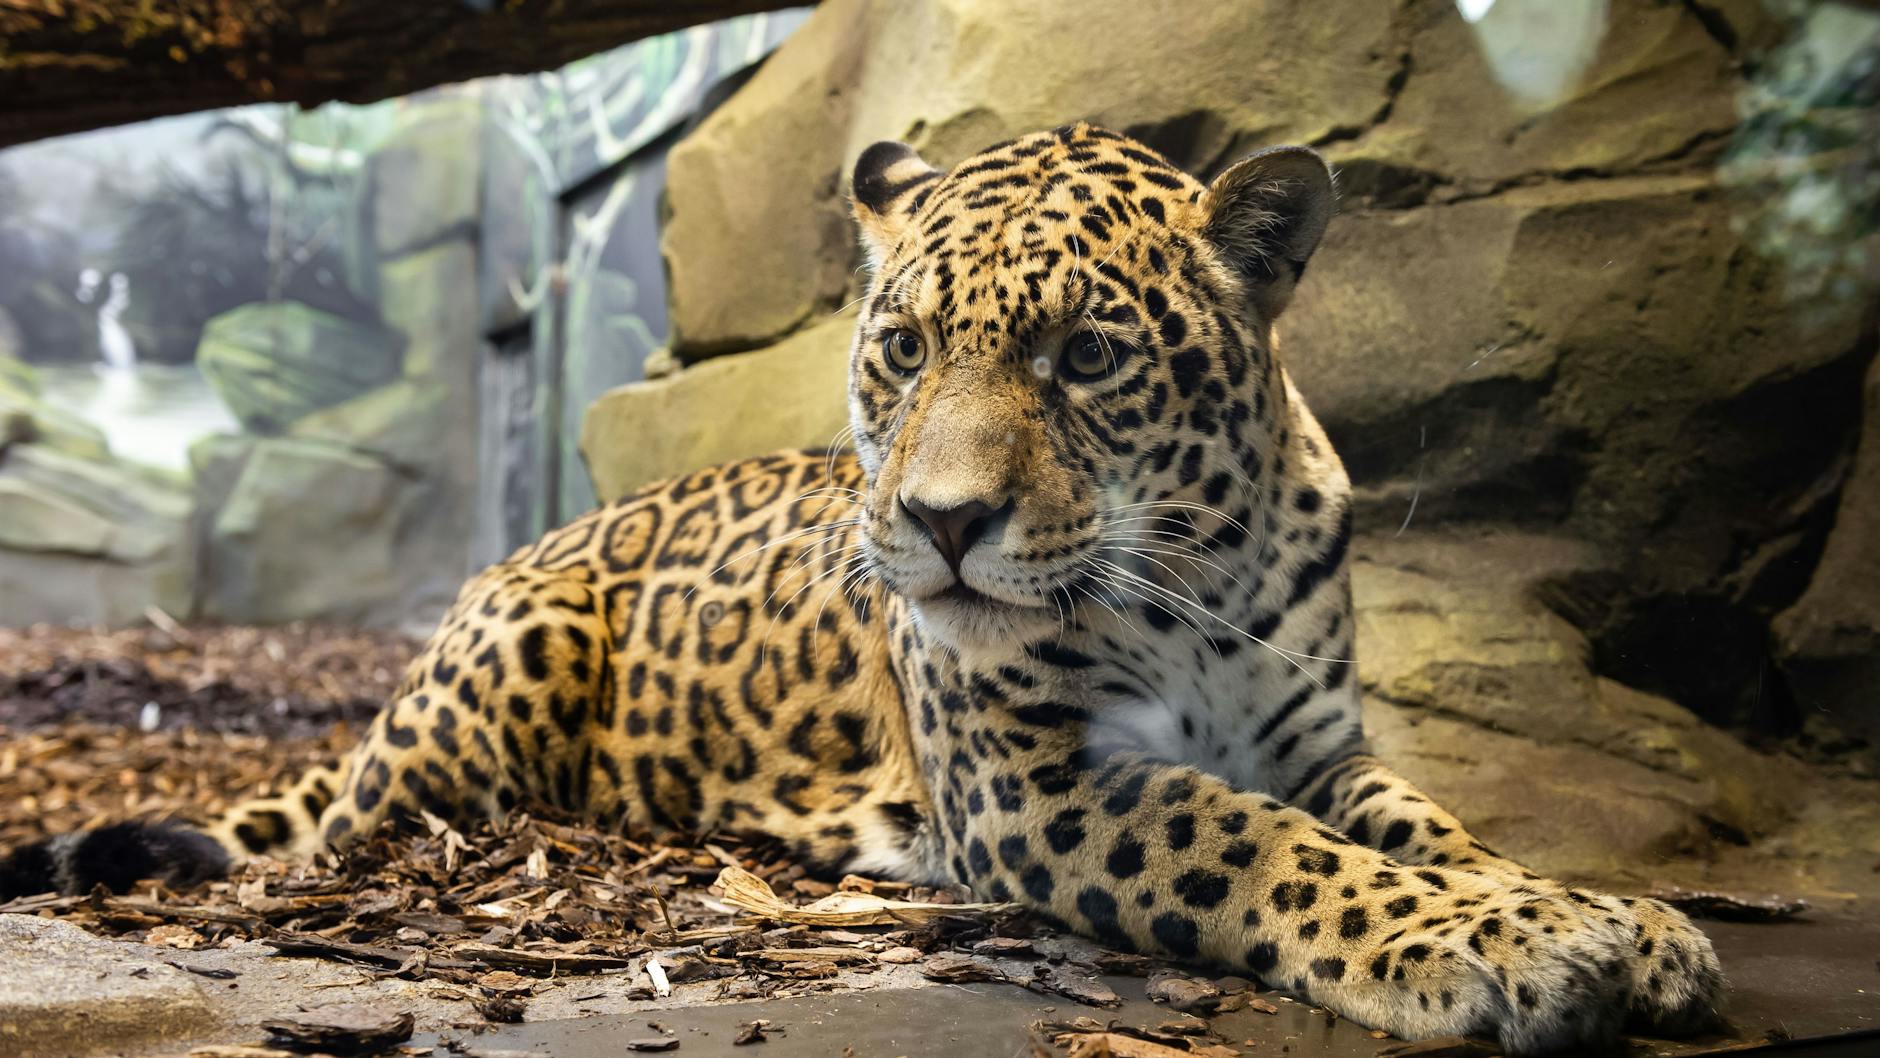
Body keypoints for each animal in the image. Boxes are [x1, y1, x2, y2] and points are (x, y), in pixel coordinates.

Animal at [2, 123, 1724, 1053]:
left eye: (1085, 356)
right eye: (902, 346)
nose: (943, 522)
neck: (1198, 568)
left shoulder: (1323, 742)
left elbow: (1428, 826)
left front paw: (1600, 915)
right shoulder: (1032, 783)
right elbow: (1253, 840)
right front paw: (1494, 947)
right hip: (502, 675)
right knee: (360, 826)